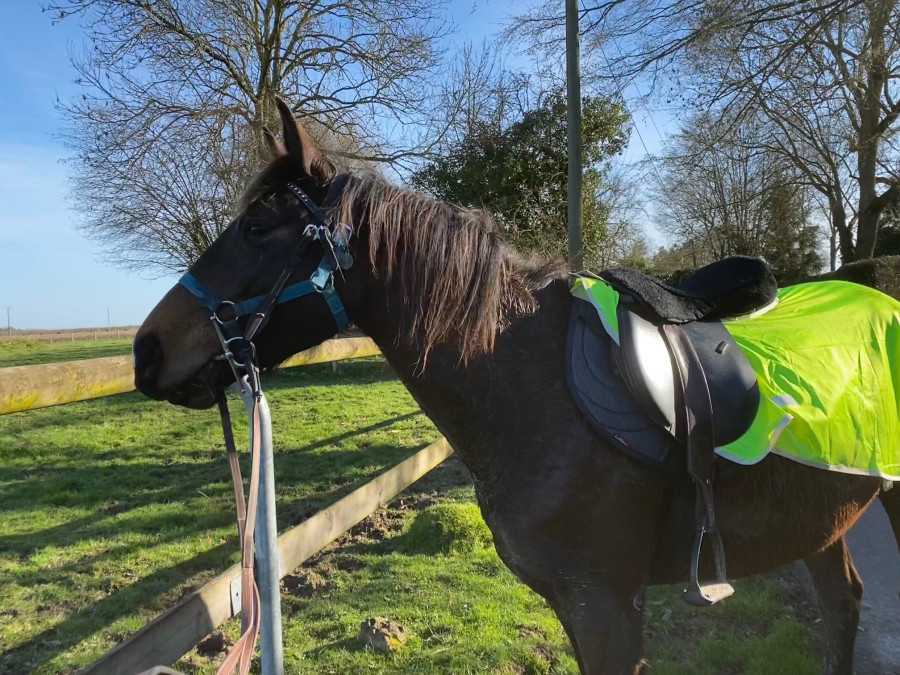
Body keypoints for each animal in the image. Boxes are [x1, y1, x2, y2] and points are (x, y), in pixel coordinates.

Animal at [133, 99, 900, 675]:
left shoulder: (608, 606)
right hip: (822, 516)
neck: (527, 388)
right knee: (843, 606)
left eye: (258, 226)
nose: (146, 351)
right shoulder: (571, 602)